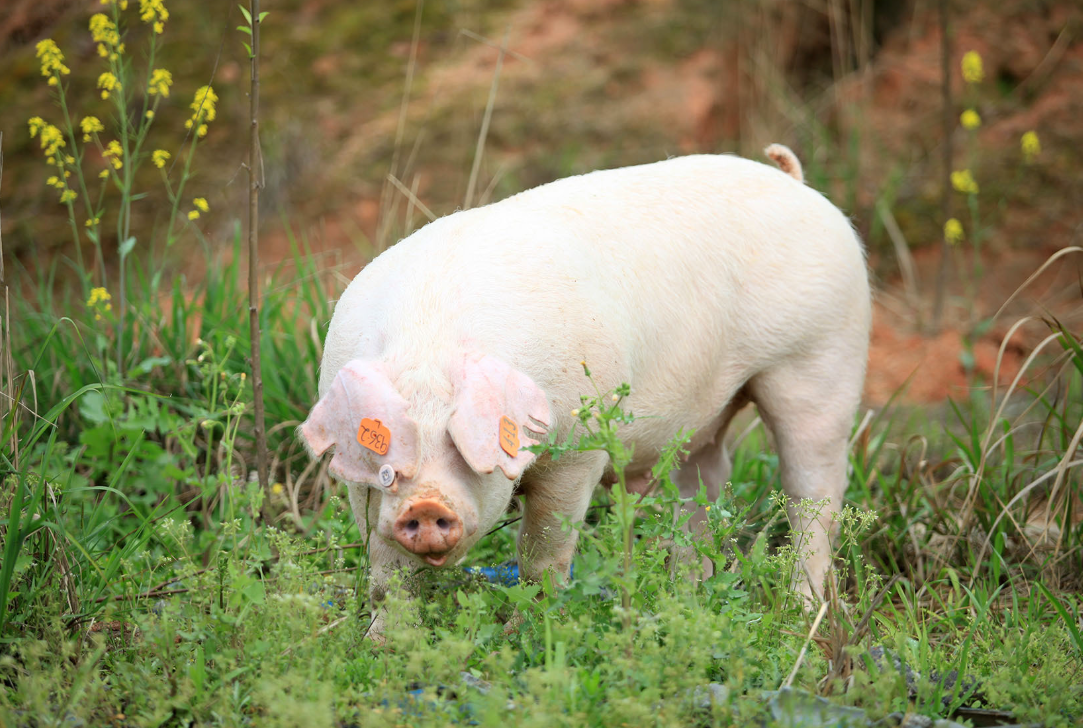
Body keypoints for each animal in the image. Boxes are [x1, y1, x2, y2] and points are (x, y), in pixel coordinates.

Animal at [296, 145, 870, 641]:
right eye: (387, 462)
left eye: (468, 449)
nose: (426, 506)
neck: (429, 346)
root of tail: (796, 183)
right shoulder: (361, 493)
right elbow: (387, 572)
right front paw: (383, 646)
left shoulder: (576, 450)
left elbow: (543, 552)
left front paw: (524, 633)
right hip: (702, 420)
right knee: (702, 491)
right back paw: (685, 600)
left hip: (822, 359)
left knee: (814, 494)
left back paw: (800, 614)